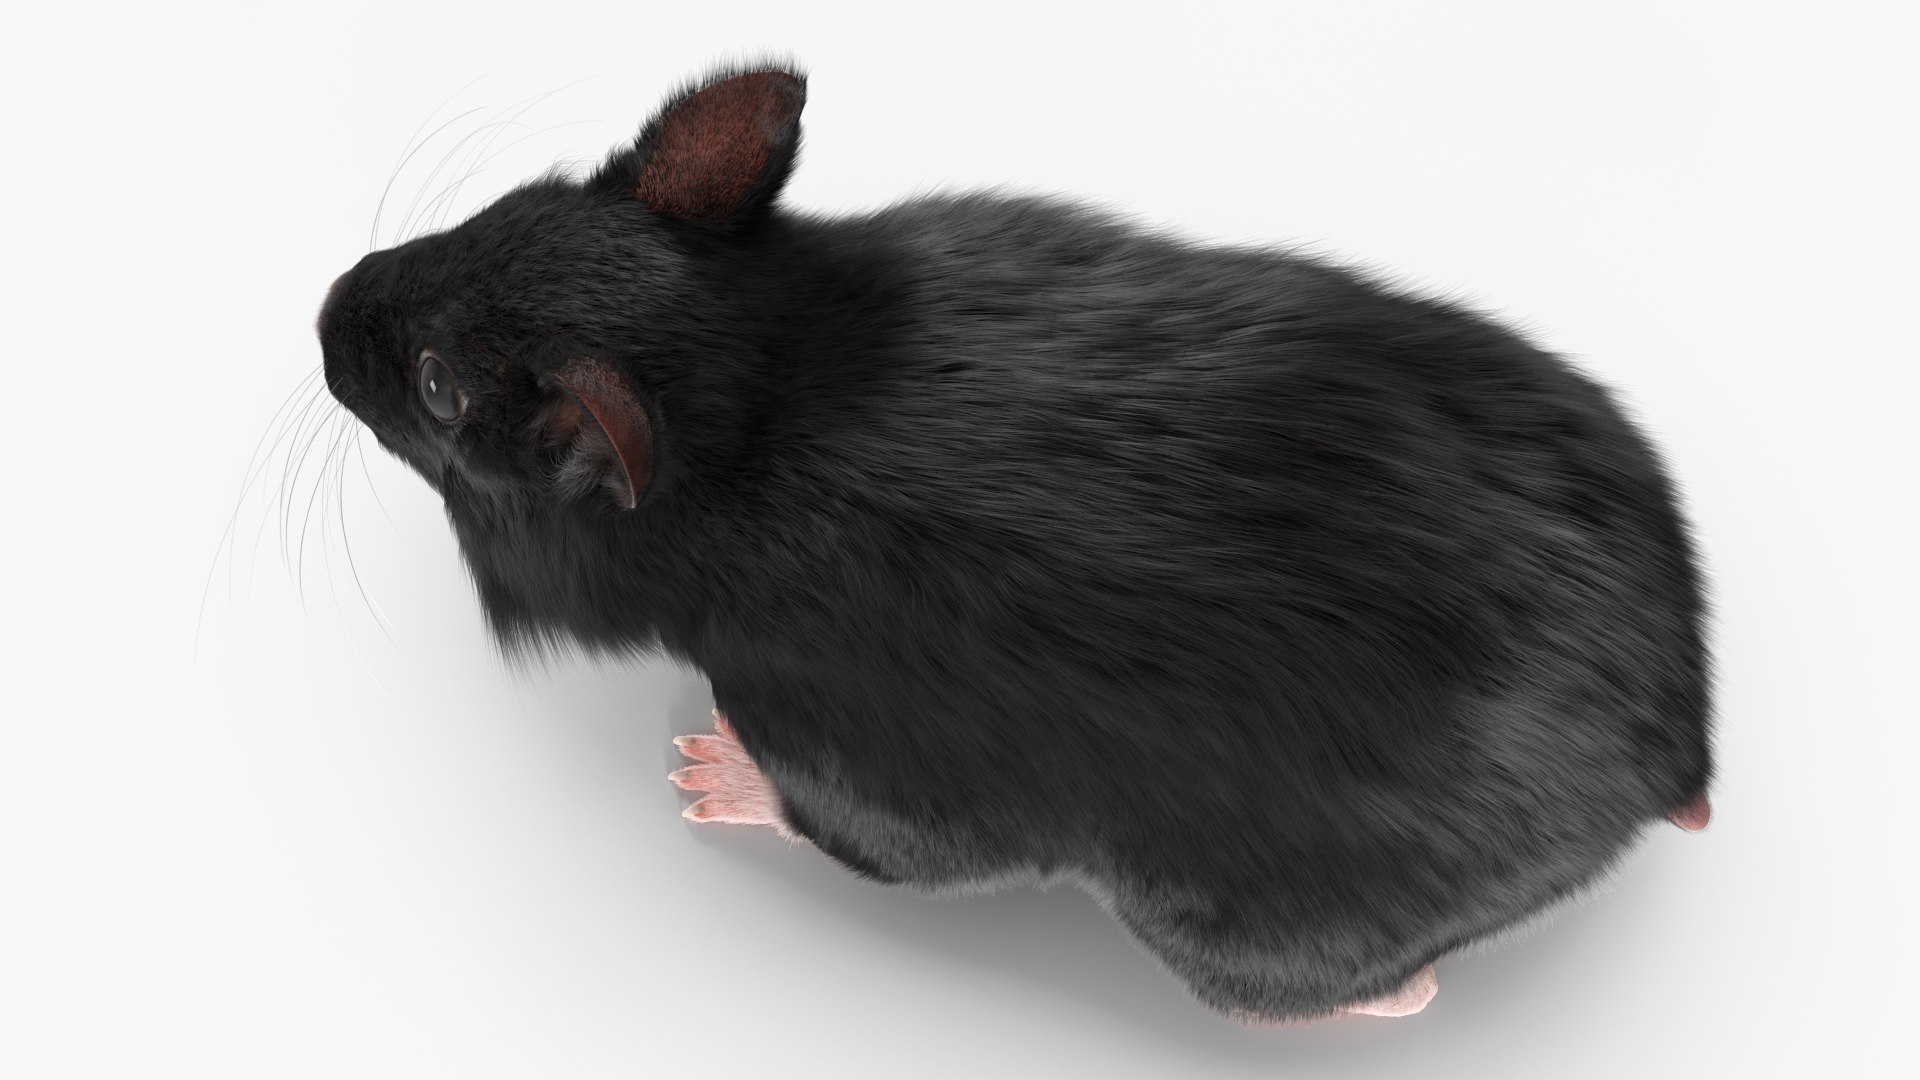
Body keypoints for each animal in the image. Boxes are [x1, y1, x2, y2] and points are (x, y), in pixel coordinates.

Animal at [317, 64, 1713, 1023]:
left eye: (439, 388)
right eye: (499, 212)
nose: (326, 311)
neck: (759, 369)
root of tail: (1678, 749)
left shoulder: (843, 736)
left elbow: (873, 840)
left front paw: (721, 776)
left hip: (1248, 933)